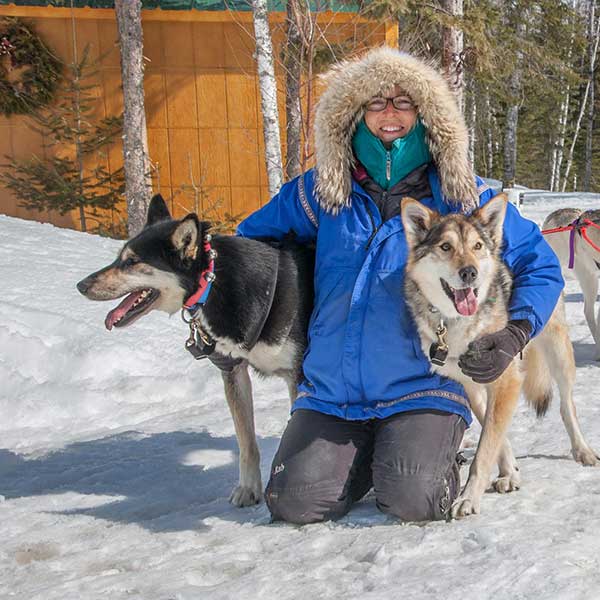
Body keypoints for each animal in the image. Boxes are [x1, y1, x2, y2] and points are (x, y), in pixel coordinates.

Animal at [400, 195, 596, 516]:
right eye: (446, 247)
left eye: (478, 245)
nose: (470, 273)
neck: (458, 324)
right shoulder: (472, 386)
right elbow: (494, 436)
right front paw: (509, 472)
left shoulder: (505, 380)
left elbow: (483, 451)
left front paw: (468, 498)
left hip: (558, 351)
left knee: (567, 406)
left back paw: (583, 450)